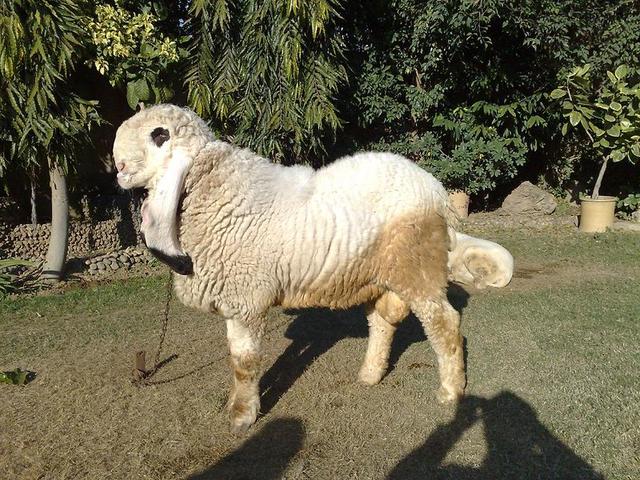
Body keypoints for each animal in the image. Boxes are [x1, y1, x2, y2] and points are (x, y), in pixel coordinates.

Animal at [113, 104, 465, 433]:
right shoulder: (234, 300)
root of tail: (434, 187)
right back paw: (370, 374)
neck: (214, 192)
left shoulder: (247, 301)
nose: (119, 169)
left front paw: (243, 416)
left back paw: (451, 390)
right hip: (378, 274)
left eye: (158, 135)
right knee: (382, 320)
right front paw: (235, 404)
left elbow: (244, 362)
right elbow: (234, 358)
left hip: (418, 267)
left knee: (444, 322)